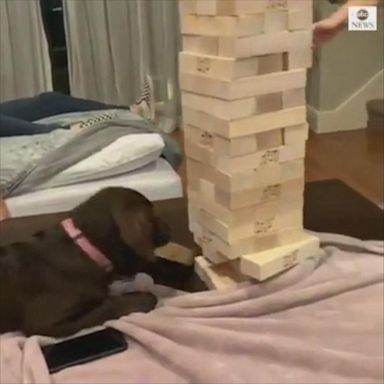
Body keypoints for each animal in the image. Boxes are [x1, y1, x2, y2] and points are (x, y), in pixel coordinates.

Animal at [0, 188, 171, 338]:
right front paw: (144, 299)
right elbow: (106, 307)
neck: (83, 249)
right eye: (152, 215)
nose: (168, 225)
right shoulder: (44, 323)